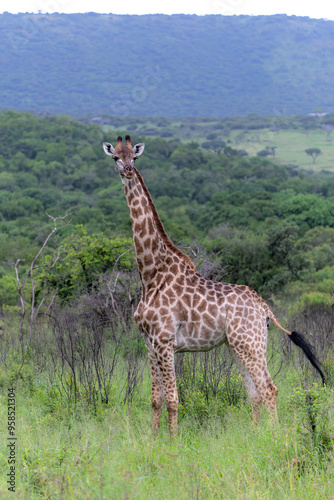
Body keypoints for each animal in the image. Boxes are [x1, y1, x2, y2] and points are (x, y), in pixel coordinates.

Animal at [103, 135, 324, 436]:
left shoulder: (165, 342)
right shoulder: (149, 342)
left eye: (134, 158)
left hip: (250, 343)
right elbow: (155, 399)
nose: (127, 170)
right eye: (116, 157)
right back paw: (255, 435)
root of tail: (265, 308)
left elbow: (173, 399)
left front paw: (173, 441)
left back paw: (273, 436)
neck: (150, 274)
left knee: (269, 389)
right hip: (237, 345)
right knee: (254, 393)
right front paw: (152, 439)